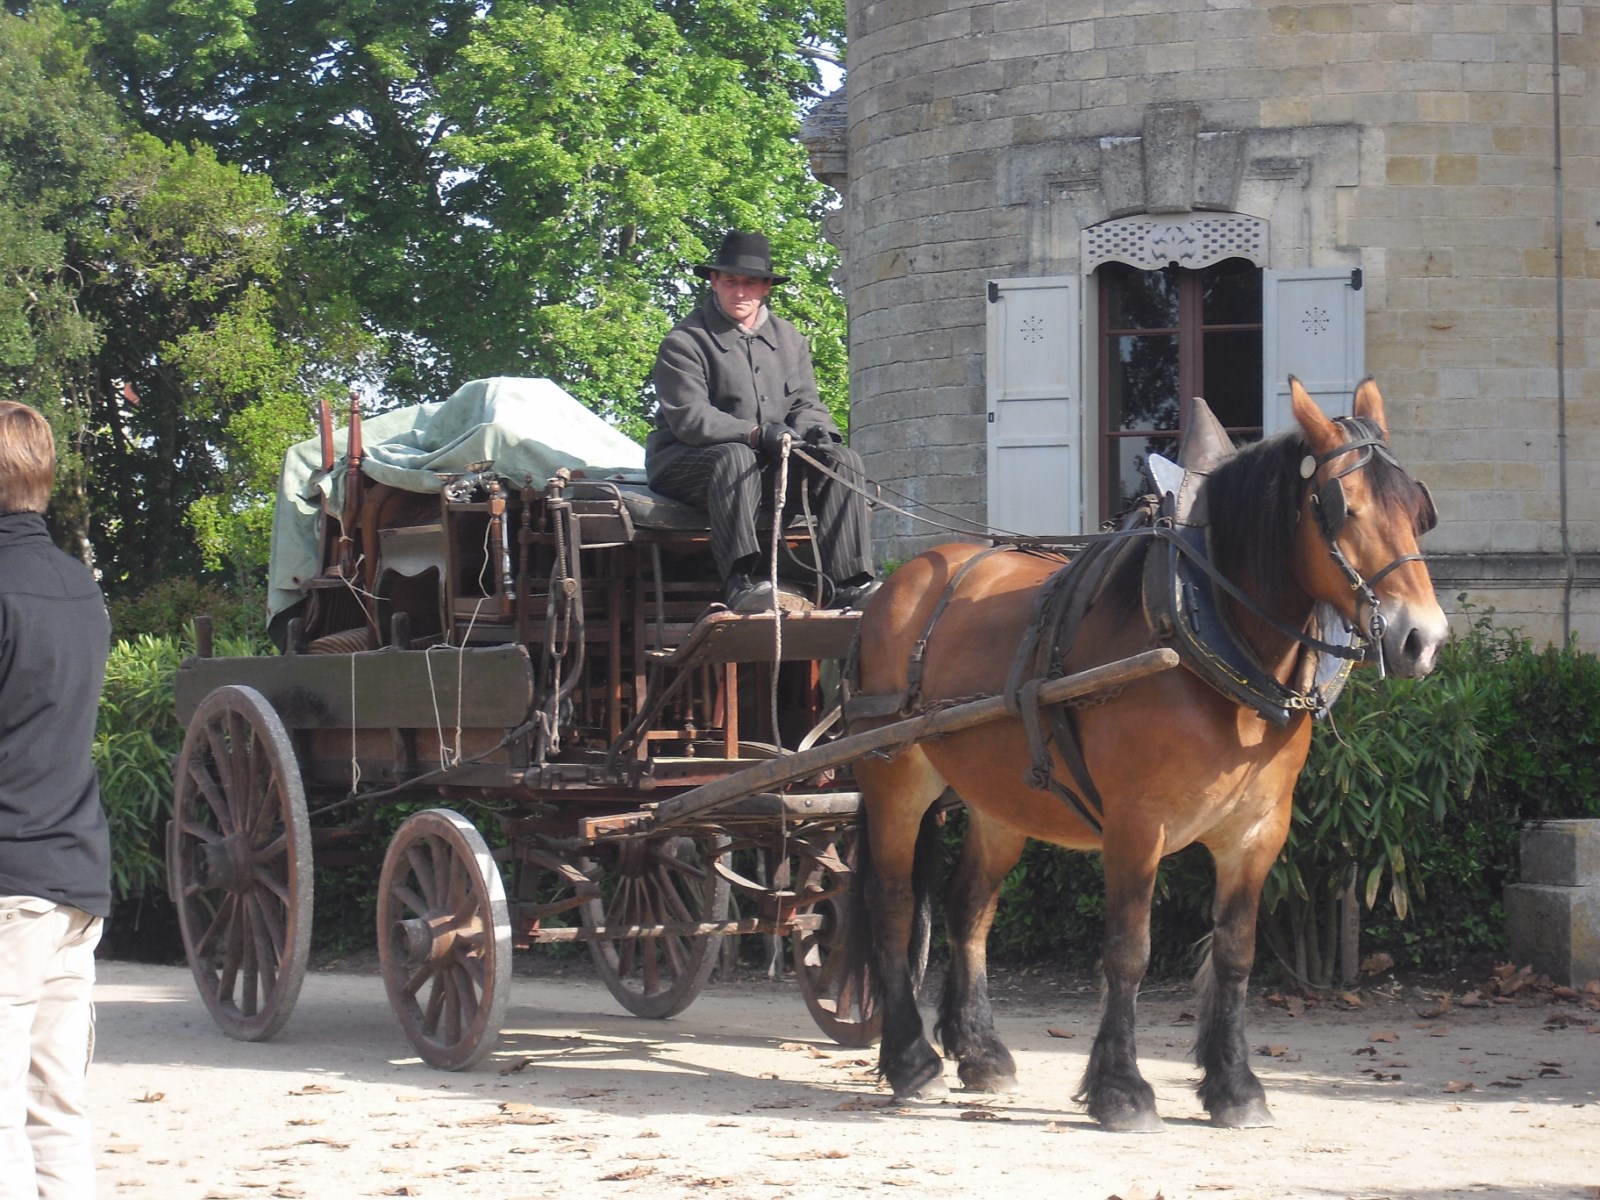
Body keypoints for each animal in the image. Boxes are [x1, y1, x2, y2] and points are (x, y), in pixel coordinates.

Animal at [849, 377, 1446, 1131]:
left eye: (1419, 512)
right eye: (1347, 511)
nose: (1423, 639)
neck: (1210, 637)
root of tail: (895, 584)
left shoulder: (1258, 833)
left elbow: (1236, 953)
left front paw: (1234, 1086)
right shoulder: (1137, 825)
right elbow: (1129, 953)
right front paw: (1121, 1088)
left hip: (1001, 800)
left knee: (967, 908)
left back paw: (978, 1050)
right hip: (894, 779)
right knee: (894, 906)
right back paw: (910, 1060)